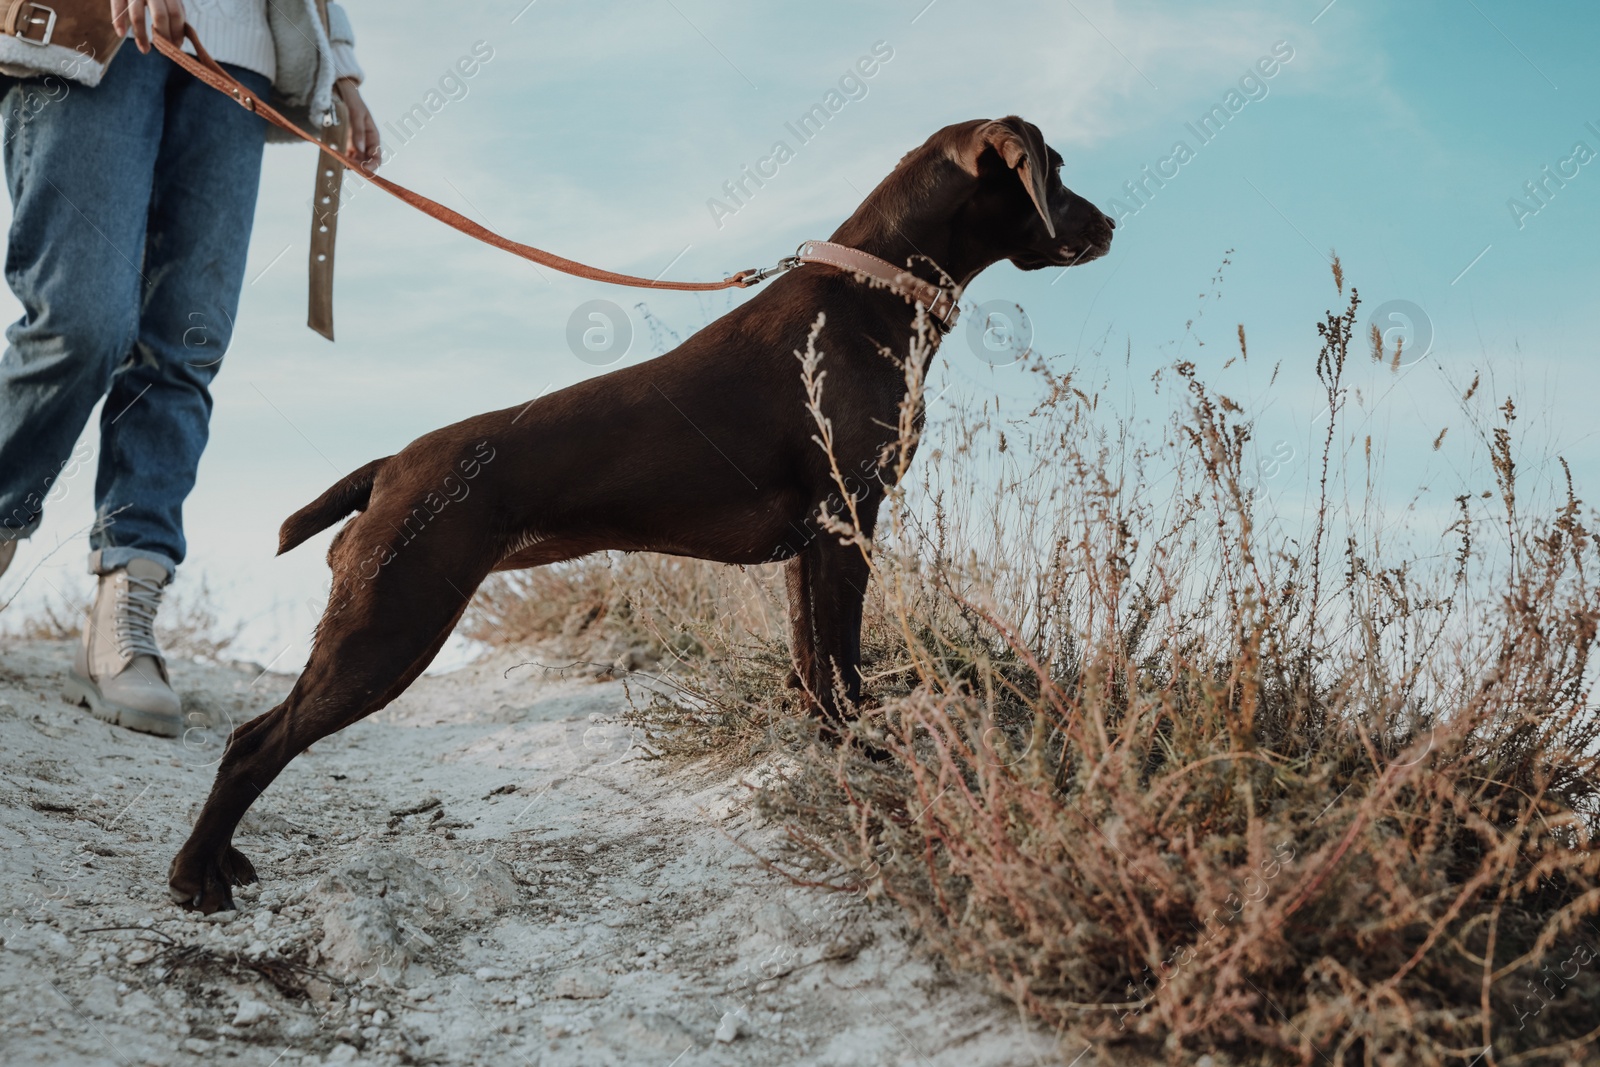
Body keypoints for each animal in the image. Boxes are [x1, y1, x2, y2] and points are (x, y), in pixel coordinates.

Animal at [165, 119, 1113, 921]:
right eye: (1058, 170)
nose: (1106, 223)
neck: (870, 291)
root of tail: (389, 466)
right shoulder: (848, 523)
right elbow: (842, 669)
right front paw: (866, 755)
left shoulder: (810, 546)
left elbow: (812, 665)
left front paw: (828, 751)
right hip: (390, 625)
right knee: (255, 740)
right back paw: (196, 873)